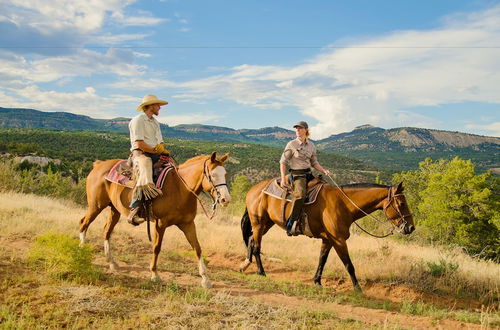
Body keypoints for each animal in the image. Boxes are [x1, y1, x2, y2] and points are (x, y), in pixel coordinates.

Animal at [78, 153, 230, 288]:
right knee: (84, 223)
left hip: (114, 210)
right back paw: (82, 251)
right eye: (212, 175)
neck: (180, 189)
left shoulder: (188, 224)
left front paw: (205, 280)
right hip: (95, 206)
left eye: (225, 174)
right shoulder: (160, 224)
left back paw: (111, 262)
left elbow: (197, 248)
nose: (225, 199)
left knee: (106, 231)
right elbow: (157, 247)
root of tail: (98, 165)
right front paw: (154, 275)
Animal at [238, 180, 414, 292]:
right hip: (258, 223)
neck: (344, 204)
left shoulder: (328, 240)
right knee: (256, 246)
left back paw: (245, 265)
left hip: (266, 223)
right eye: (401, 204)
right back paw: (261, 271)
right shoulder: (339, 241)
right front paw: (358, 289)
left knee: (251, 240)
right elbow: (349, 265)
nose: (411, 227)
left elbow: (322, 260)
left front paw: (317, 281)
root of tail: (253, 189)